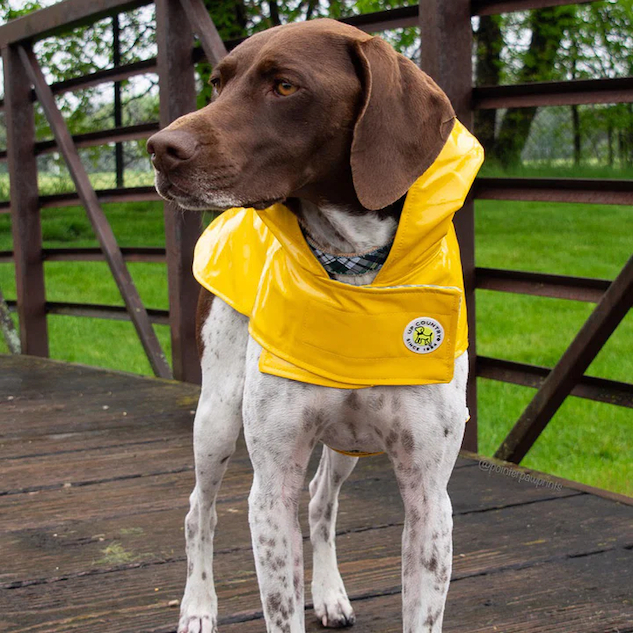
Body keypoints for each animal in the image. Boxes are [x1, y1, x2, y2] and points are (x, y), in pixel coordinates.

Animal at [148, 17, 482, 628]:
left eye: (285, 86)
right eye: (217, 83)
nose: (160, 149)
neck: (354, 274)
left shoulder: (429, 500)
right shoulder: (271, 490)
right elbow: (279, 602)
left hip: (346, 446)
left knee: (324, 502)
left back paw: (329, 593)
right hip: (216, 417)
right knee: (198, 511)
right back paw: (199, 606)